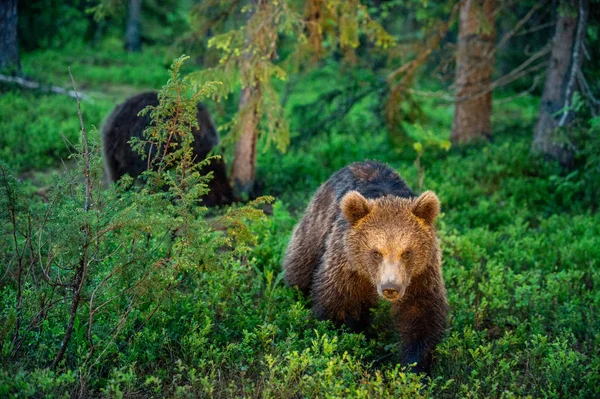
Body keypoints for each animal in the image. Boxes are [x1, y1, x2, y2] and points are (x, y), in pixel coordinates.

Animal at [284, 159, 448, 376]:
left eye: (407, 252)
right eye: (376, 252)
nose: (390, 288)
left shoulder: (421, 274)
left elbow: (421, 314)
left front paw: (415, 367)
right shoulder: (346, 264)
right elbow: (336, 304)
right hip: (316, 227)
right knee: (300, 266)